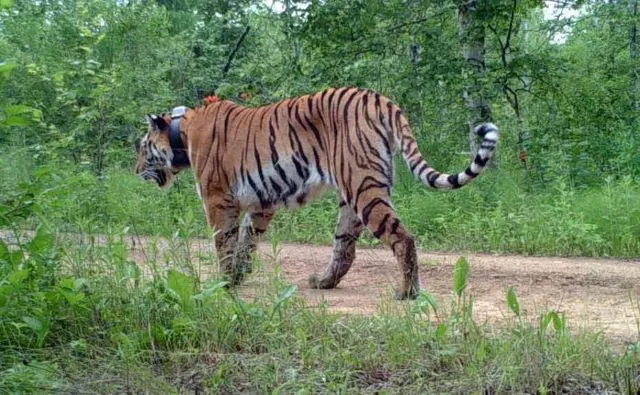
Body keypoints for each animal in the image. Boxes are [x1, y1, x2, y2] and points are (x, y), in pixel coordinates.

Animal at [135, 87, 498, 300]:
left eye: (142, 147)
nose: (135, 170)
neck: (182, 133)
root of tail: (379, 99)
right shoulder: (261, 203)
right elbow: (246, 241)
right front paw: (238, 276)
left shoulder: (217, 200)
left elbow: (224, 242)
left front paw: (224, 284)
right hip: (353, 193)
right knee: (345, 247)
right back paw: (324, 282)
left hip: (362, 187)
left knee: (403, 237)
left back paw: (407, 292)